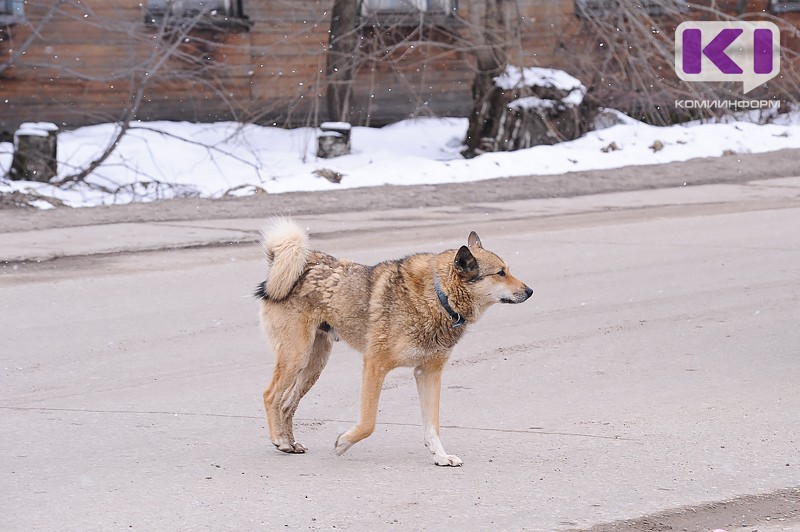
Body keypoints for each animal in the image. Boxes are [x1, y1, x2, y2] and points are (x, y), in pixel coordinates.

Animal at [255, 216, 532, 466]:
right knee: (271, 395)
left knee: (286, 403)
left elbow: (432, 425)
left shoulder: (428, 373)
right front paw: (344, 442)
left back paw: (289, 442)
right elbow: (369, 423)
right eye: (501, 273)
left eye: (507, 270)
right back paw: (280, 440)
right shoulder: (374, 365)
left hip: (313, 366)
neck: (438, 296)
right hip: (296, 357)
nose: (530, 291)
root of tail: (300, 263)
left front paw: (440, 457)